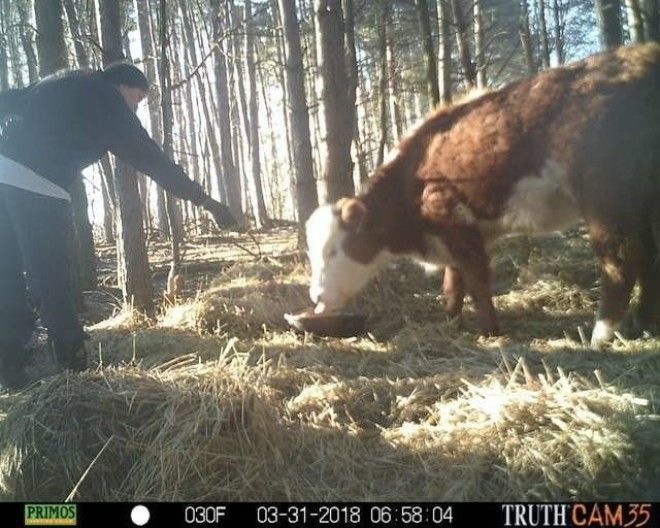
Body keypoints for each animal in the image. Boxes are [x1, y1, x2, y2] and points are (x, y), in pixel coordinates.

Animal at [305, 43, 660, 348]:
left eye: (333, 251)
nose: (316, 296)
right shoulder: (454, 237)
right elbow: (453, 283)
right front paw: (450, 321)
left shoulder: (458, 225)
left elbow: (476, 283)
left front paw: (489, 331)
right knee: (650, 256)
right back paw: (642, 323)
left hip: (607, 197)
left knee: (621, 258)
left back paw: (602, 334)